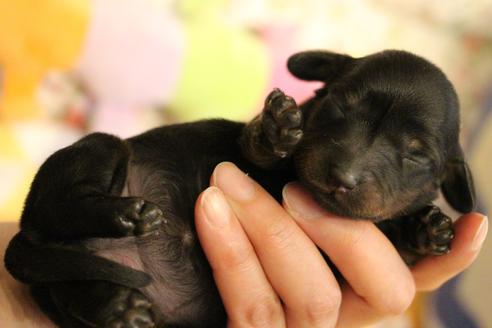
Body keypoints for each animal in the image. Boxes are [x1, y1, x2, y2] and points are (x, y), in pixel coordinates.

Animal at [2, 49, 472, 328]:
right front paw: (276, 129)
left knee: (70, 289)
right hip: (99, 151)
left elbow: (396, 237)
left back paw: (118, 306)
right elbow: (256, 146)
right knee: (59, 208)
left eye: (415, 154)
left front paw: (426, 229)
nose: (343, 177)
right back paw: (122, 215)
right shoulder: (241, 155)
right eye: (340, 105)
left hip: (67, 281)